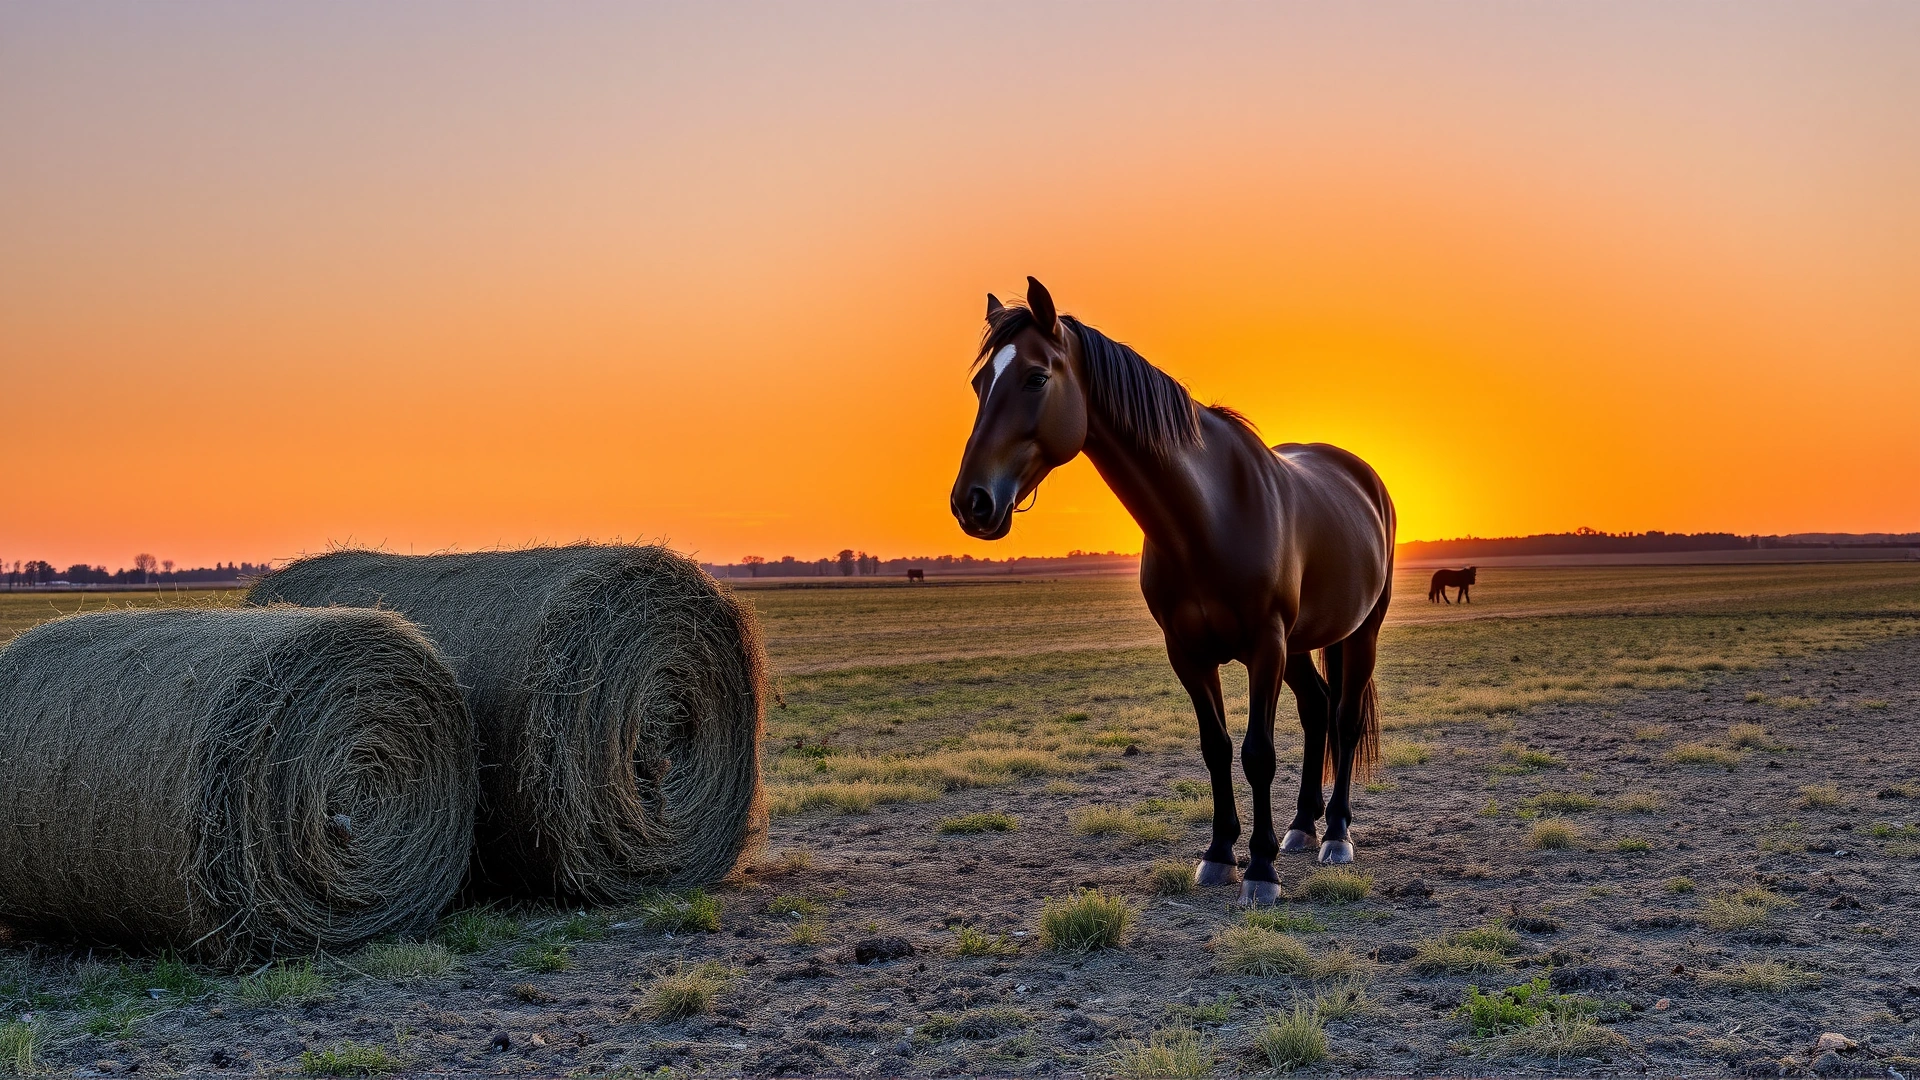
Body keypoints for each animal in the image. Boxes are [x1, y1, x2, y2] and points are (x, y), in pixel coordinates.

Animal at [950, 278, 1396, 904]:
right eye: (979, 384)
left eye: (1036, 377)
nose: (972, 502)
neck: (1206, 516)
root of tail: (1363, 476)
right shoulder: (1187, 651)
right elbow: (1216, 747)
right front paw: (1219, 855)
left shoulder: (1264, 646)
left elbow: (1258, 753)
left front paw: (1260, 871)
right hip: (1302, 645)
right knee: (1316, 708)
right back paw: (1301, 827)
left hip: (1359, 634)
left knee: (1345, 718)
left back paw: (1334, 835)